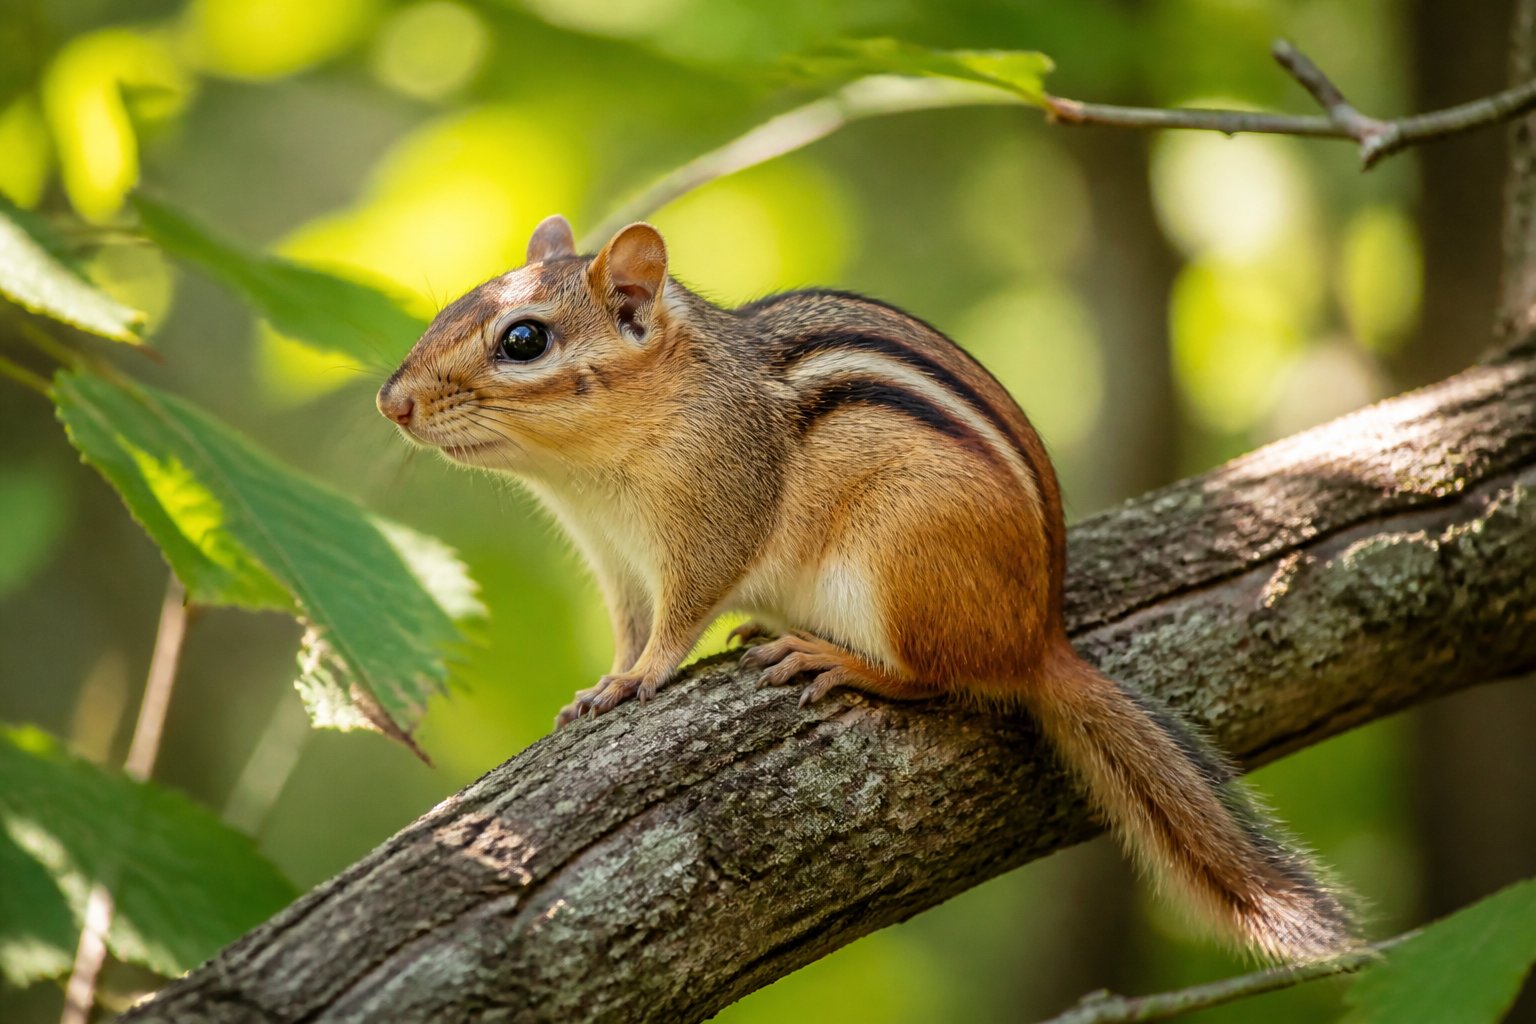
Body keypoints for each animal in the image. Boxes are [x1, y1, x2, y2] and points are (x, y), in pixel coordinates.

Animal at [378, 214, 1359, 963]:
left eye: (523, 340)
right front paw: (603, 685)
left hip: (895, 567)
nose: (393, 402)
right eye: (456, 304)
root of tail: (1038, 637)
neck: (589, 476)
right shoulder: (615, 561)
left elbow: (680, 619)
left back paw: (836, 660)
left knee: (937, 680)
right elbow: (627, 626)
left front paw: (643, 679)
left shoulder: (711, 526)